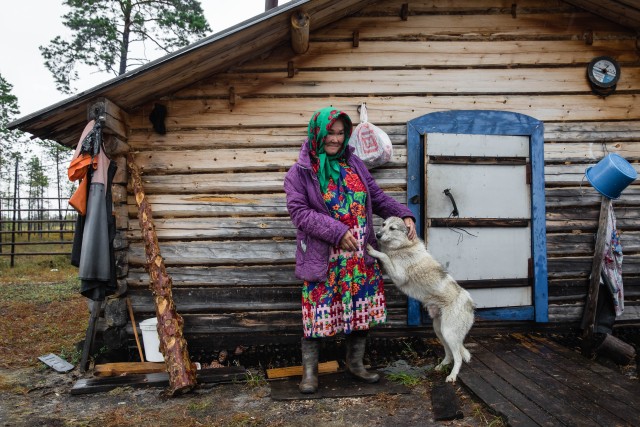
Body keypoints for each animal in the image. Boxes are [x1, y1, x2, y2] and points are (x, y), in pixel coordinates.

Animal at [364, 217, 476, 384]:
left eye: (392, 228)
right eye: (383, 225)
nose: (377, 234)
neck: (403, 246)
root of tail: (470, 304)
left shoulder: (398, 275)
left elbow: (384, 256)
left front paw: (372, 250)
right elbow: (384, 257)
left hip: (448, 333)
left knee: (458, 357)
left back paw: (452, 376)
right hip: (439, 330)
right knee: (449, 354)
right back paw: (441, 366)